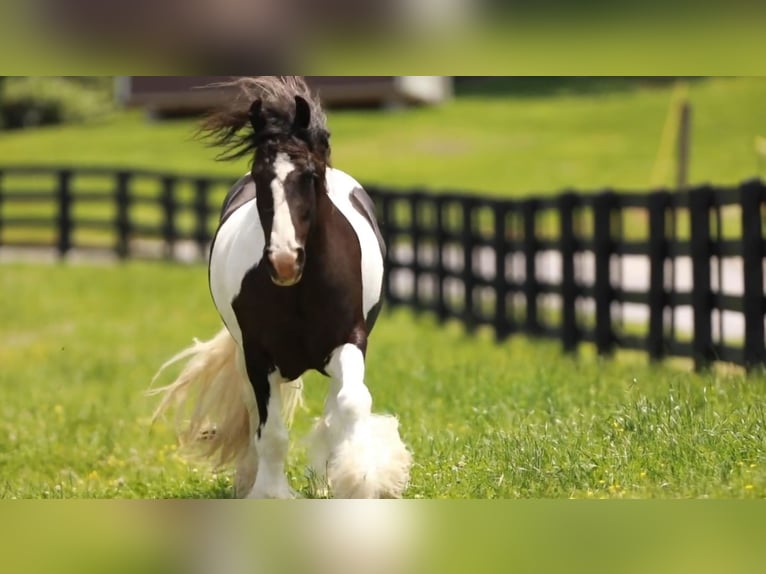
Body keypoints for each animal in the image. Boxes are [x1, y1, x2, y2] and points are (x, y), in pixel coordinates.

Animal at [151, 76, 414, 500]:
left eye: (310, 175)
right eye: (260, 177)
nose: (285, 261)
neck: (299, 294)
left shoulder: (349, 339)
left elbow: (352, 403)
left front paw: (361, 479)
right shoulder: (258, 356)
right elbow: (270, 432)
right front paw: (270, 492)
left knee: (334, 405)